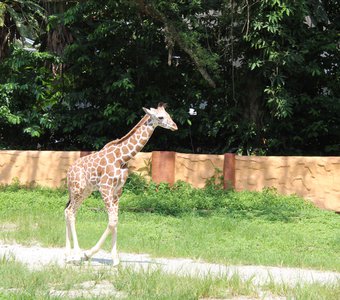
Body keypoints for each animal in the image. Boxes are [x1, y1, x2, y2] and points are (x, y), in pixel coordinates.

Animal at [64, 103, 179, 264]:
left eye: (169, 114)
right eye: (161, 117)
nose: (175, 126)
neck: (122, 157)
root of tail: (69, 172)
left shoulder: (118, 190)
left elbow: (115, 220)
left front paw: (115, 260)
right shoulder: (105, 187)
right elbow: (112, 221)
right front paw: (88, 254)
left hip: (85, 191)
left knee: (70, 211)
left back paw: (68, 255)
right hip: (78, 188)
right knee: (70, 212)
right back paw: (76, 255)